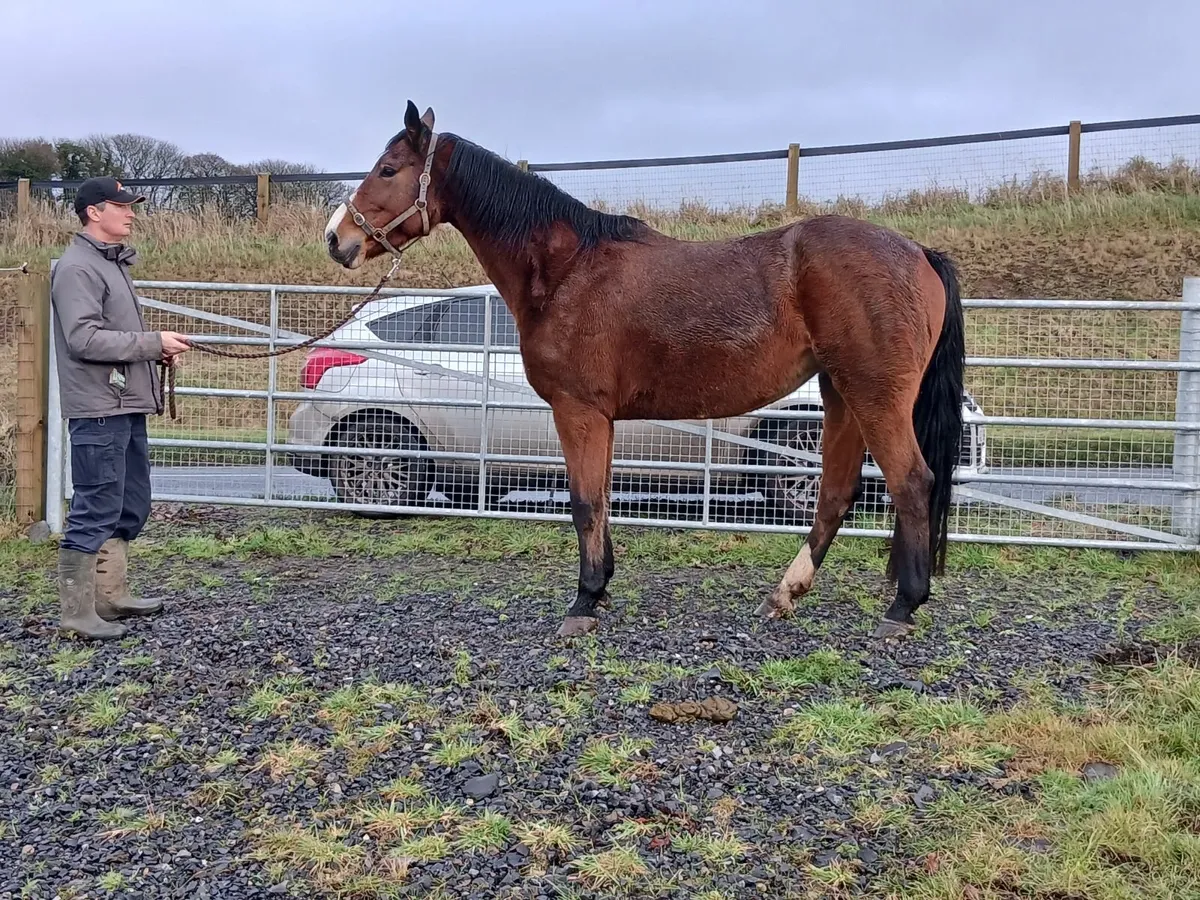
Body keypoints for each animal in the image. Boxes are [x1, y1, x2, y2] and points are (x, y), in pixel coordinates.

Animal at [324, 101, 966, 641]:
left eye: (387, 169)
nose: (337, 239)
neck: (567, 270)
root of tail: (918, 252)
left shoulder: (578, 410)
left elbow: (585, 501)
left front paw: (584, 602)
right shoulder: (600, 418)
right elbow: (602, 498)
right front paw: (601, 589)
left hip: (874, 396)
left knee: (912, 483)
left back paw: (902, 607)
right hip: (842, 394)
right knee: (836, 491)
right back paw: (785, 596)